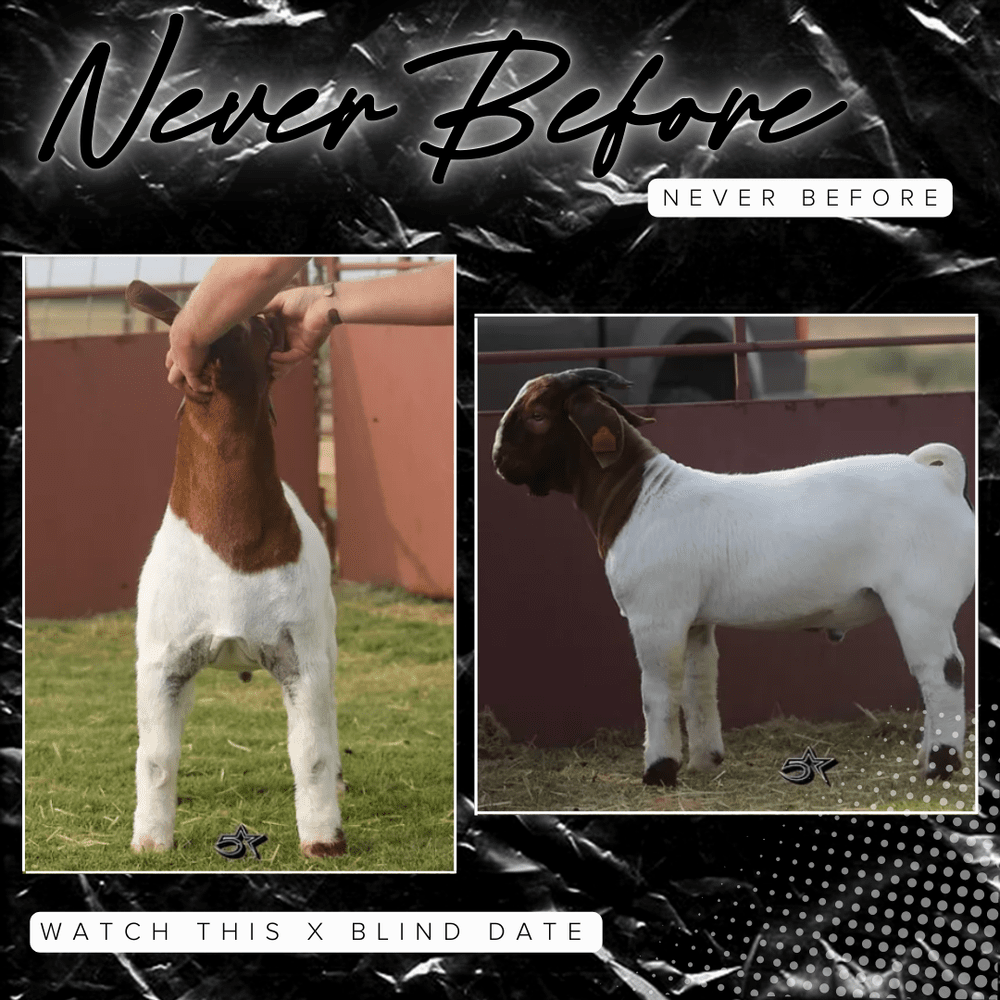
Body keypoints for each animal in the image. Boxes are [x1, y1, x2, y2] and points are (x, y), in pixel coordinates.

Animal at [126, 280, 345, 857]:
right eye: (250, 327)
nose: (274, 311)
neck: (229, 541)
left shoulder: (301, 659)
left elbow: (311, 753)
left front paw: (323, 838)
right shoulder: (163, 665)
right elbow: (157, 758)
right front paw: (150, 838)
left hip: (326, 640)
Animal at [492, 368, 974, 786]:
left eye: (538, 415)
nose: (498, 460)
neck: (639, 497)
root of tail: (943, 481)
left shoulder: (656, 615)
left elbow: (658, 691)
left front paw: (659, 772)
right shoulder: (695, 621)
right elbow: (699, 685)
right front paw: (705, 761)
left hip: (920, 601)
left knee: (942, 672)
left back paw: (940, 767)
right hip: (931, 606)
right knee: (938, 674)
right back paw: (926, 759)